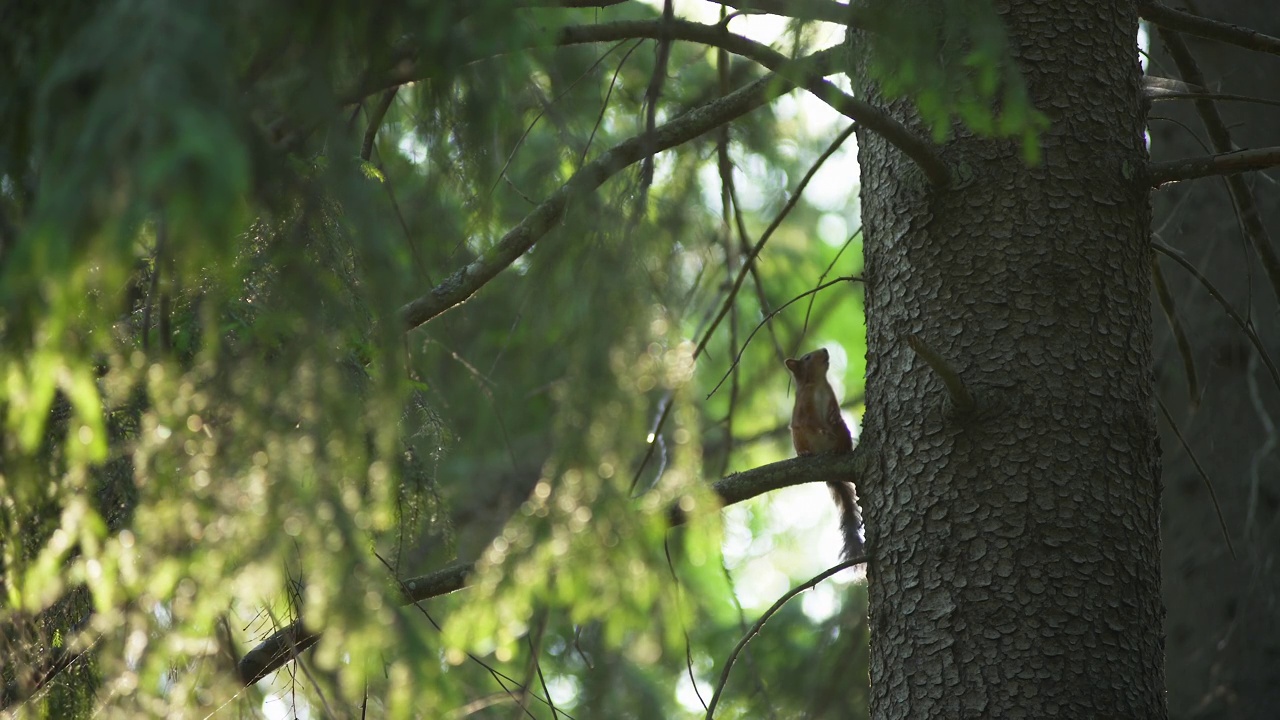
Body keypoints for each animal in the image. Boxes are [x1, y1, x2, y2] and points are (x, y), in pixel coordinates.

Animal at [783, 348, 865, 561]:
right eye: (807, 357)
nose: (825, 350)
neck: (819, 383)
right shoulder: (804, 406)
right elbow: (809, 421)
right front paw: (822, 429)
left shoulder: (831, 397)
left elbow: (835, 413)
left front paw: (833, 418)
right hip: (798, 437)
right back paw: (805, 453)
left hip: (844, 431)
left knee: (842, 432)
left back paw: (841, 448)